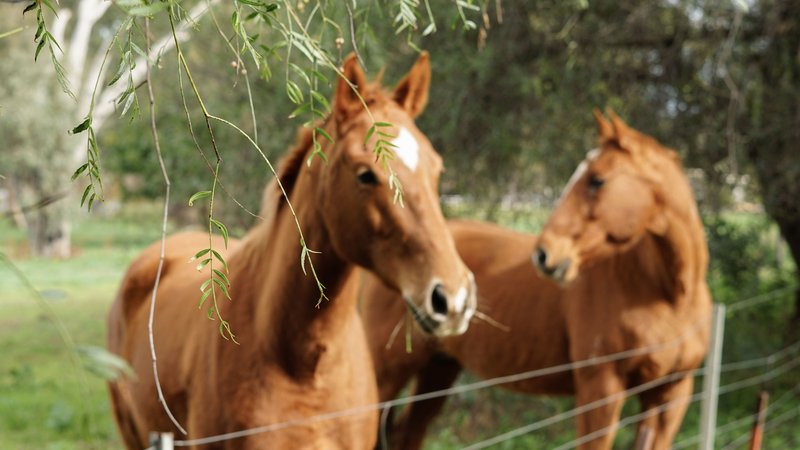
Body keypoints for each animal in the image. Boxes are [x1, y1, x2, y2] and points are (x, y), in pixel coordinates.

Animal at [360, 110, 708, 450]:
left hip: (438, 368)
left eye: (597, 180)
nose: (544, 254)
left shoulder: (670, 397)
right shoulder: (601, 389)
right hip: (386, 373)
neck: (663, 296)